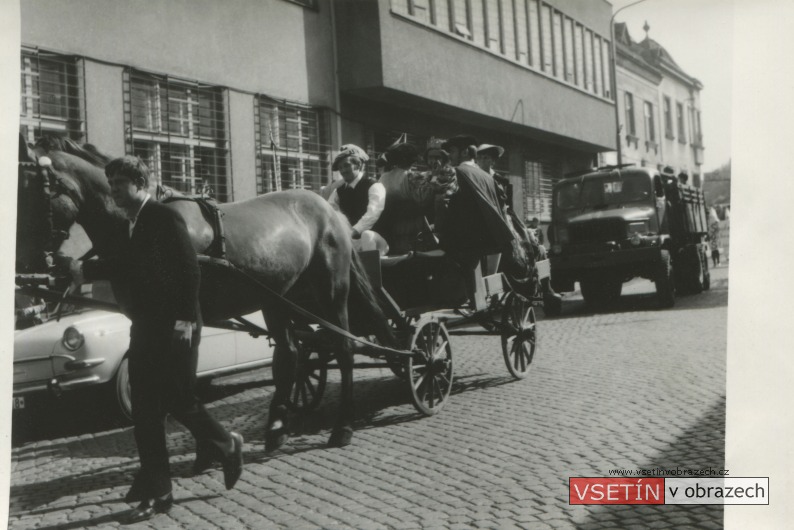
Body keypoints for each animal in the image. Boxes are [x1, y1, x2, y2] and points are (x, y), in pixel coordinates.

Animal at [20, 134, 396, 448]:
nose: (29, 265)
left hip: (332, 292)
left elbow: (181, 381)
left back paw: (342, 427)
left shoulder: (186, 319)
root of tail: (330, 211)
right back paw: (276, 428)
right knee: (290, 355)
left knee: (343, 348)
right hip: (276, 299)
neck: (142, 223)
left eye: (30, 187)